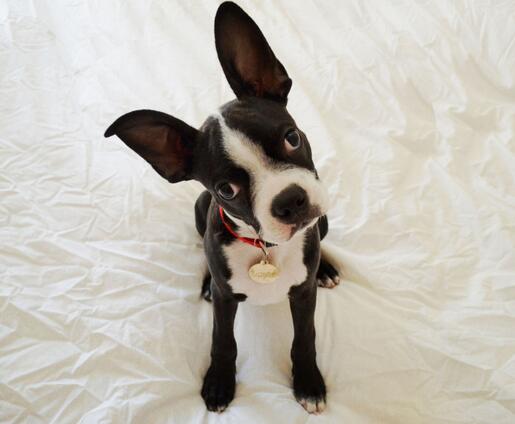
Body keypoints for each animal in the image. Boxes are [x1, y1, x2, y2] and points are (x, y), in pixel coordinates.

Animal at [104, 1, 340, 414]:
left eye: (292, 138)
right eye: (226, 190)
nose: (290, 200)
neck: (265, 247)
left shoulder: (303, 294)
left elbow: (305, 338)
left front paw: (309, 383)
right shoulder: (228, 302)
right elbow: (223, 341)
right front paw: (218, 383)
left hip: (321, 221)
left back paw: (324, 268)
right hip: (200, 211)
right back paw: (206, 284)